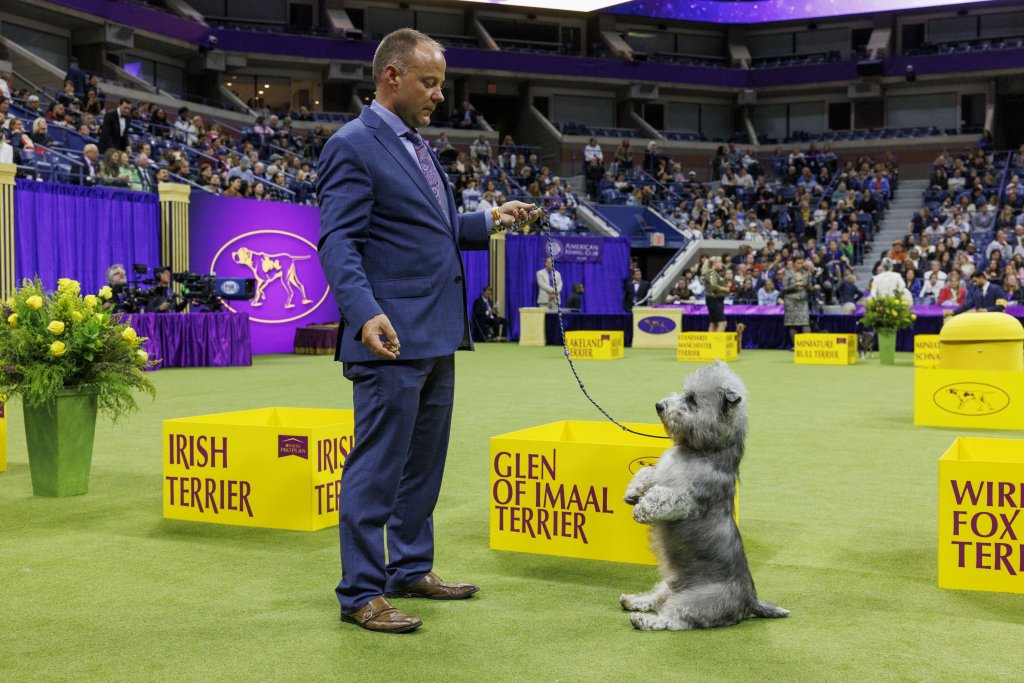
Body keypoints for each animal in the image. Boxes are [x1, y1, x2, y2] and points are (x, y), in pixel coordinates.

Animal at [618, 360, 786, 634]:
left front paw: (640, 510)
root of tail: (750, 601)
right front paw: (632, 493)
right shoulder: (660, 473)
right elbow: (646, 473)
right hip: (669, 584)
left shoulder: (684, 498)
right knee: (656, 599)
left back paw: (643, 620)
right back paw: (633, 600)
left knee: (672, 619)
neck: (700, 450)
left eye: (692, 399)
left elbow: (660, 496)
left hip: (693, 601)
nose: (659, 405)